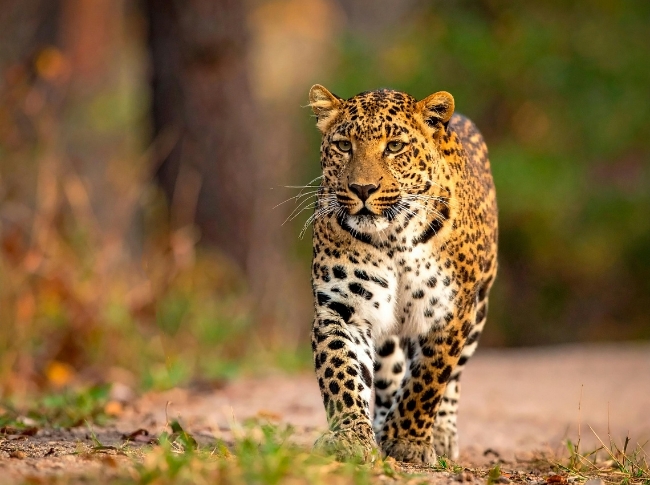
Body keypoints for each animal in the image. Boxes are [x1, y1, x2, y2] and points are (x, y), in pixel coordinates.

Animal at [307, 84, 498, 465]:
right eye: (344, 145)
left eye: (394, 146)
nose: (362, 189)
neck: (394, 236)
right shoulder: (343, 309)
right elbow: (341, 372)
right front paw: (351, 438)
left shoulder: (450, 312)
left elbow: (428, 380)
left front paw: (408, 441)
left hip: (478, 311)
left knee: (452, 380)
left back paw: (441, 436)